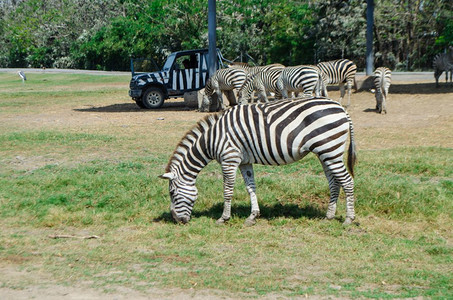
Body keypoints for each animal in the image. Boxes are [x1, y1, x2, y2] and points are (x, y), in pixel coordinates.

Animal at [159, 97, 356, 226]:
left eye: (172, 193)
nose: (177, 221)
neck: (212, 139)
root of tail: (340, 108)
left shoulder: (229, 158)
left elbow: (227, 190)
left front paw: (223, 218)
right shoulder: (244, 161)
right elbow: (250, 187)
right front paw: (253, 216)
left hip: (330, 149)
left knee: (347, 181)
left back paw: (349, 219)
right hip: (325, 152)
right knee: (334, 182)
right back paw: (329, 216)